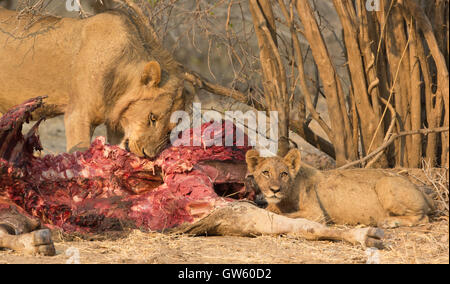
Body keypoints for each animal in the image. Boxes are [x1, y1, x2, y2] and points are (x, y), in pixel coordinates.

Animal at [246, 149, 436, 229]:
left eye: (284, 174)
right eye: (266, 173)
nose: (274, 190)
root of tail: (422, 191)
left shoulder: (316, 214)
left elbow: (287, 215)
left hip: (385, 184)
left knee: (423, 218)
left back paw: (388, 222)